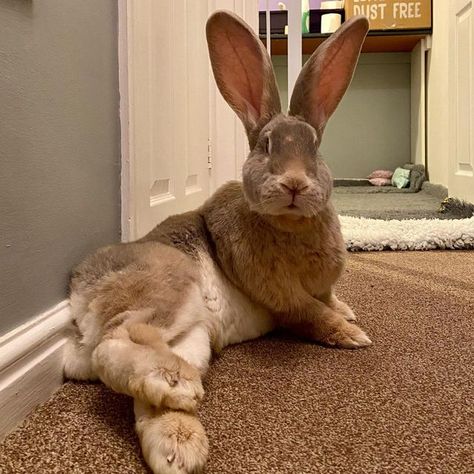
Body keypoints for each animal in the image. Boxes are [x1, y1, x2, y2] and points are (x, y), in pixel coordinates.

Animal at [63, 10, 372, 474]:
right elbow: (312, 313)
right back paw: (178, 386)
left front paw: (348, 312)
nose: (294, 184)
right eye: (265, 146)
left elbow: (328, 300)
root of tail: (81, 290)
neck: (290, 225)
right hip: (168, 288)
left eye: (315, 148)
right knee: (115, 341)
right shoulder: (282, 296)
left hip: (193, 337)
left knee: (129, 382)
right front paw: (352, 334)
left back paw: (177, 444)